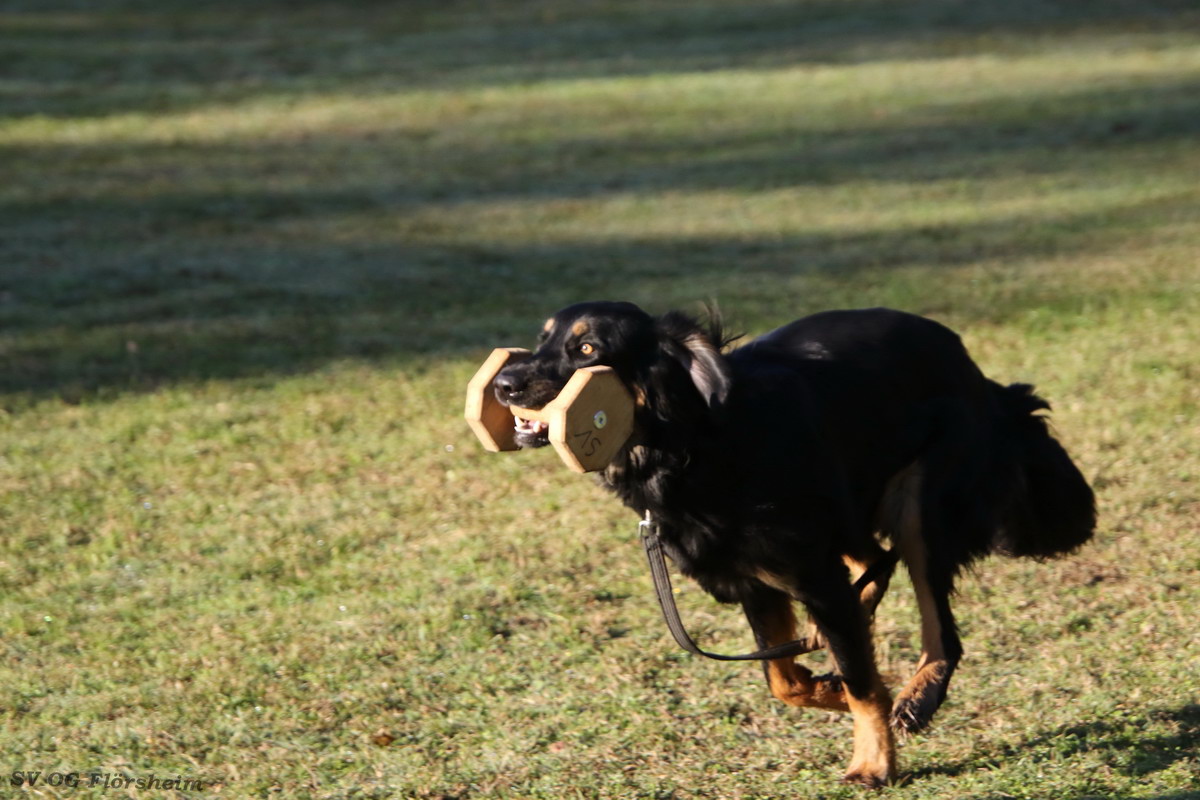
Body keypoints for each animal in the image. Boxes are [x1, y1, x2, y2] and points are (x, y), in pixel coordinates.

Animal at [489, 302, 1099, 786]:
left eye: (588, 348)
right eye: (542, 340)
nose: (503, 385)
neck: (690, 447)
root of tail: (975, 370)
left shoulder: (810, 574)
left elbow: (861, 681)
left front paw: (873, 762)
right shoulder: (754, 582)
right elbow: (782, 681)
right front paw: (827, 687)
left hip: (921, 506)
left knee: (936, 624)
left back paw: (918, 696)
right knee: (869, 563)